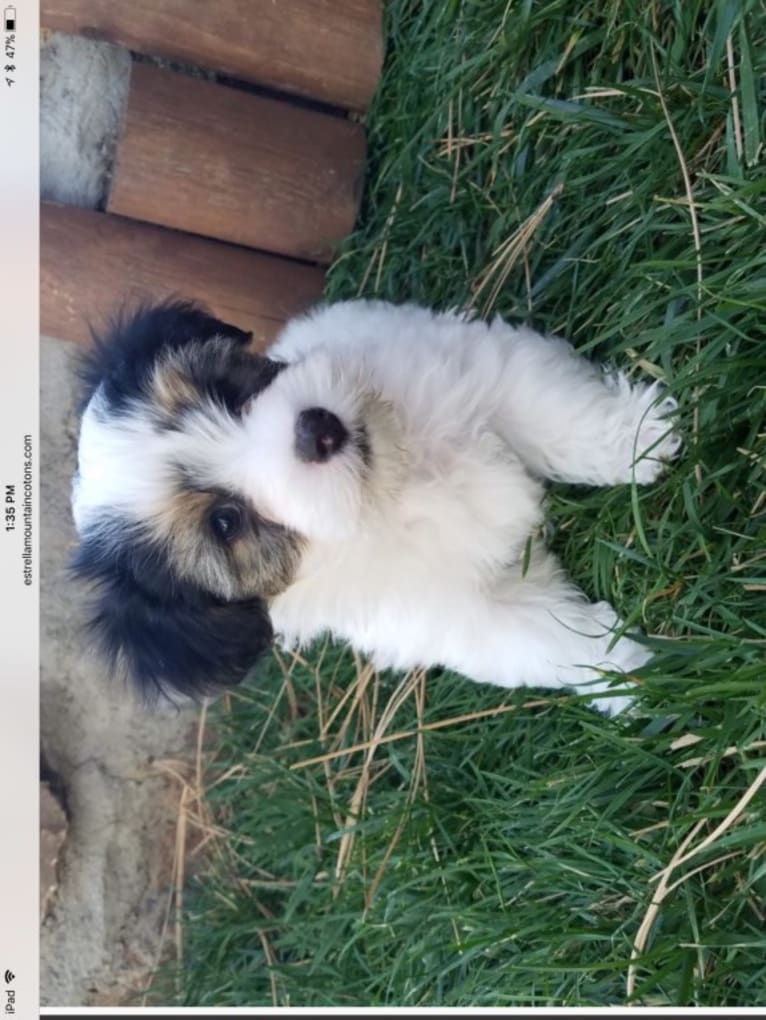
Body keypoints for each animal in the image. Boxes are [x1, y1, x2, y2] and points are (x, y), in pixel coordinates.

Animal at [73, 297, 681, 714]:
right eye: (226, 522)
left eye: (230, 393)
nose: (317, 428)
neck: (392, 484)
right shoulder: (460, 611)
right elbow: (541, 639)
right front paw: (623, 671)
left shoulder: (482, 373)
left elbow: (555, 412)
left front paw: (639, 438)